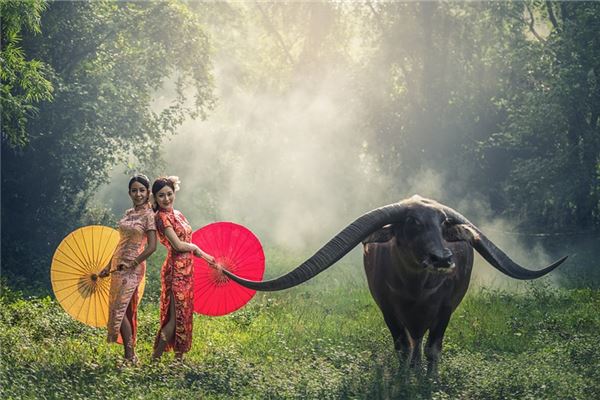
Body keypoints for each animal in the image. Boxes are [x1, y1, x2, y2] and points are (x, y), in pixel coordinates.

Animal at [221, 195, 568, 374]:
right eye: (413, 222)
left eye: (443, 224)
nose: (443, 258)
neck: (417, 288)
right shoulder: (387, 307)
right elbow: (403, 346)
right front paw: (404, 378)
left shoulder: (445, 310)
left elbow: (432, 348)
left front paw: (428, 380)